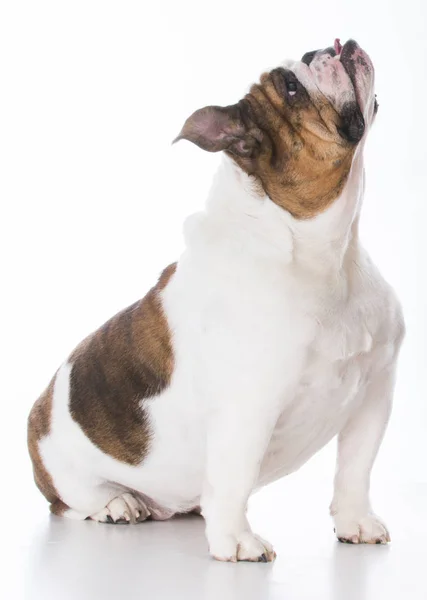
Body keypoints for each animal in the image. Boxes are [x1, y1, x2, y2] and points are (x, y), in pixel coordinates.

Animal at [27, 38, 404, 564]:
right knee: (71, 501)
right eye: (291, 86)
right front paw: (236, 542)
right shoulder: (248, 409)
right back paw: (117, 503)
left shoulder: (373, 395)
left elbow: (355, 470)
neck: (324, 252)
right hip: (62, 469)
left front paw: (355, 523)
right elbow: (234, 477)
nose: (327, 47)